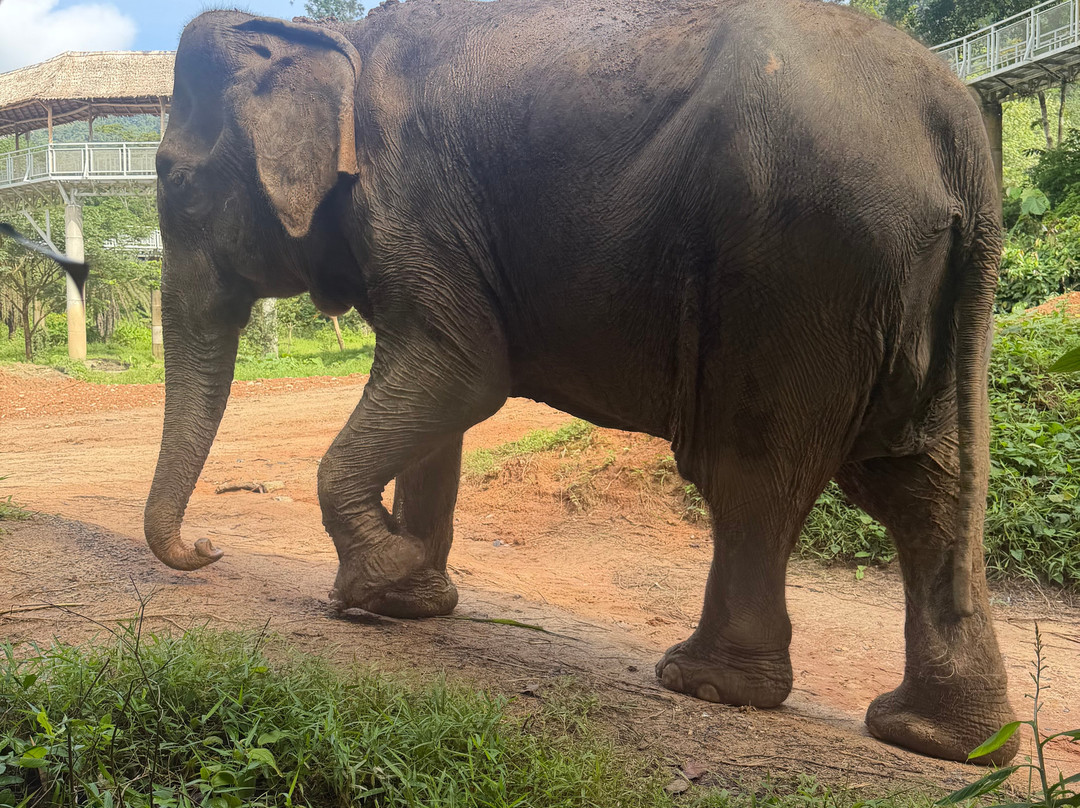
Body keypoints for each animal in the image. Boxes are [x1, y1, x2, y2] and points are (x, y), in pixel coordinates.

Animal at [144, 0, 1018, 765]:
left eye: (177, 184)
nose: (208, 548)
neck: (330, 38)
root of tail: (960, 129)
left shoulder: (412, 205)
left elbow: (462, 373)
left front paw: (373, 585)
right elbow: (441, 410)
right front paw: (404, 601)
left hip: (800, 271)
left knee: (753, 473)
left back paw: (706, 683)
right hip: (910, 288)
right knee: (923, 485)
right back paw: (938, 738)